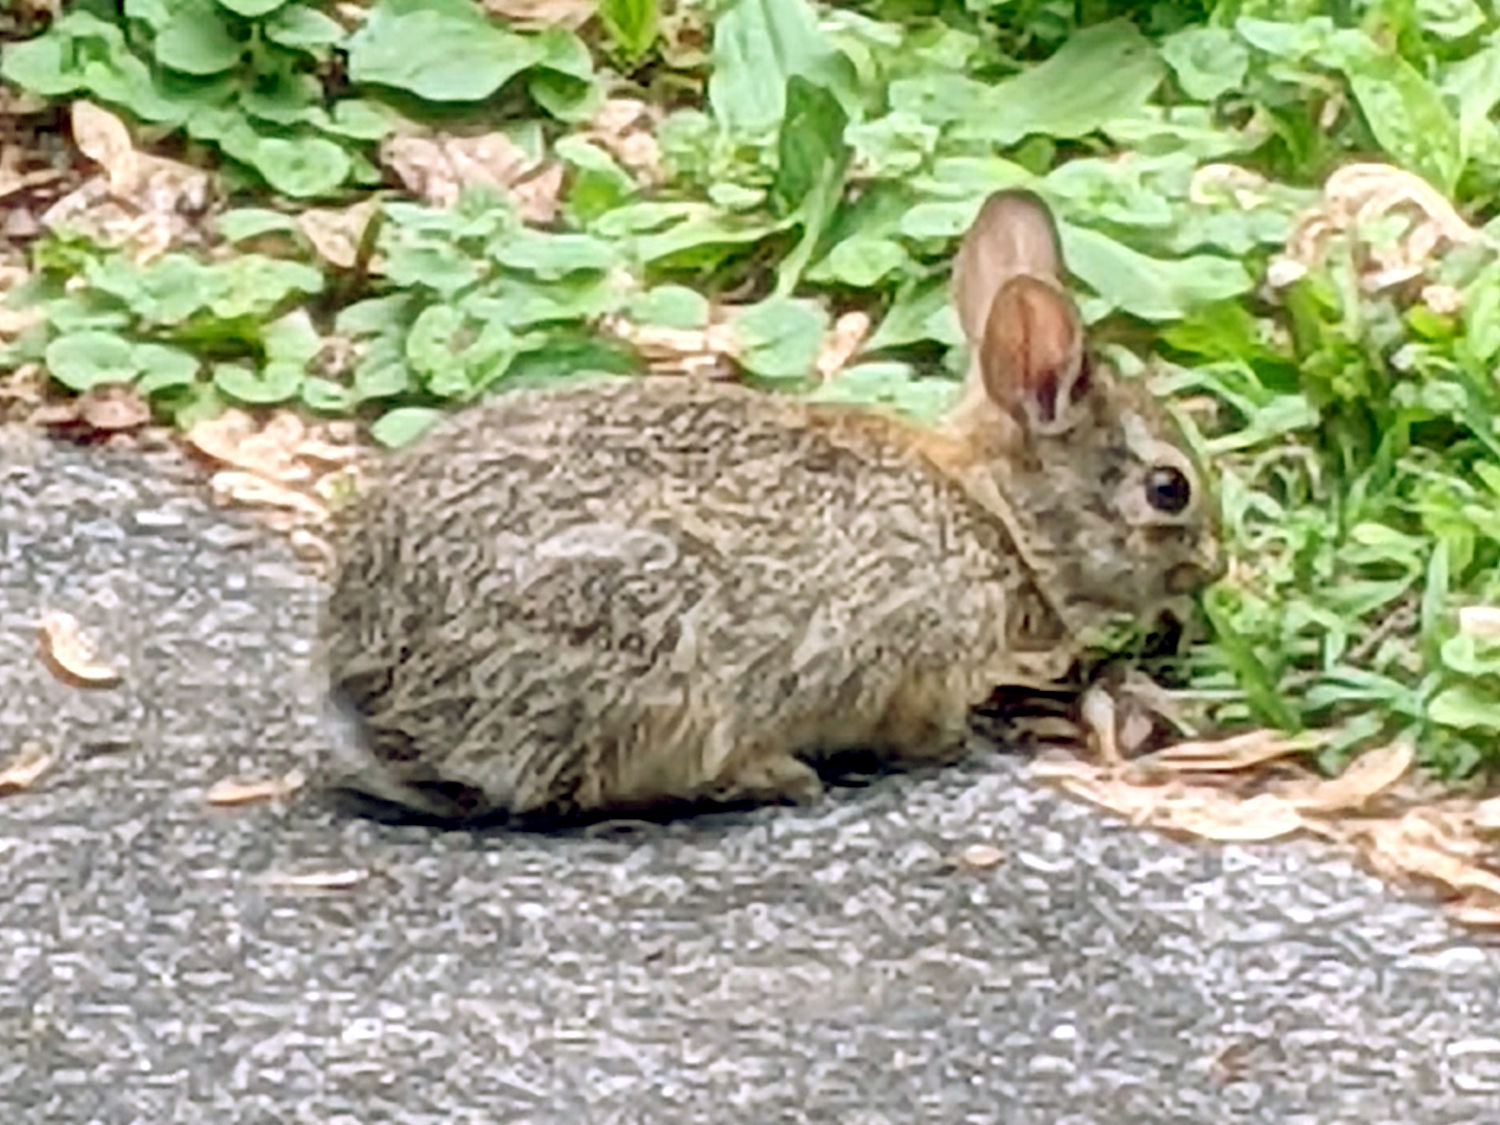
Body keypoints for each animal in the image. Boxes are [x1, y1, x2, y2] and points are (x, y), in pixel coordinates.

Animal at [319, 189, 1223, 824]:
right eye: (1168, 487)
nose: (1212, 567)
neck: (989, 511)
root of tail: (374, 685)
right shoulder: (915, 658)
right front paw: (949, 745)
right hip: (652, 659)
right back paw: (775, 776)